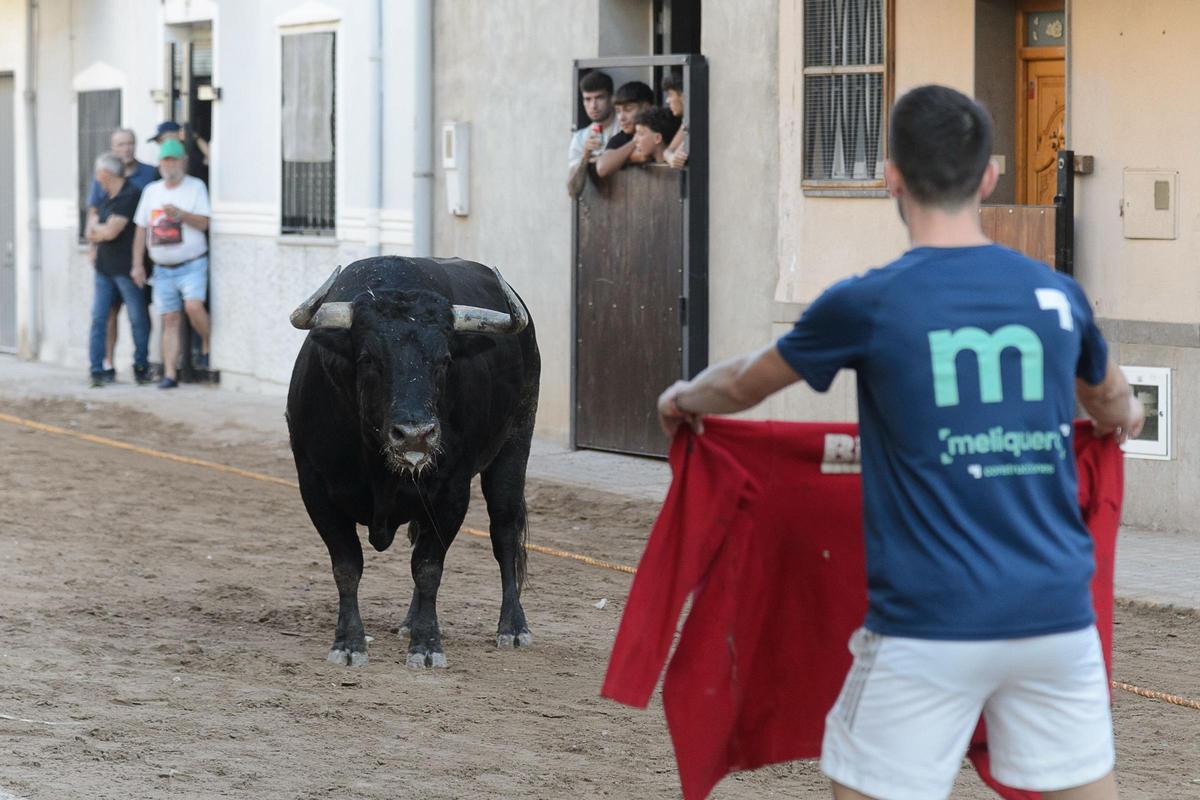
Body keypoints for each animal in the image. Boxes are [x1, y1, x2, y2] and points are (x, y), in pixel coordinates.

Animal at [285, 257, 540, 671]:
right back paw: (408, 621)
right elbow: (347, 566)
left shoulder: (452, 493)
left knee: (504, 533)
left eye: (445, 360)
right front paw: (349, 643)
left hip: (515, 446)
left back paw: (513, 627)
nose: (416, 434)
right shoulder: (315, 487)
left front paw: (427, 645)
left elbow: (428, 567)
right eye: (368, 358)